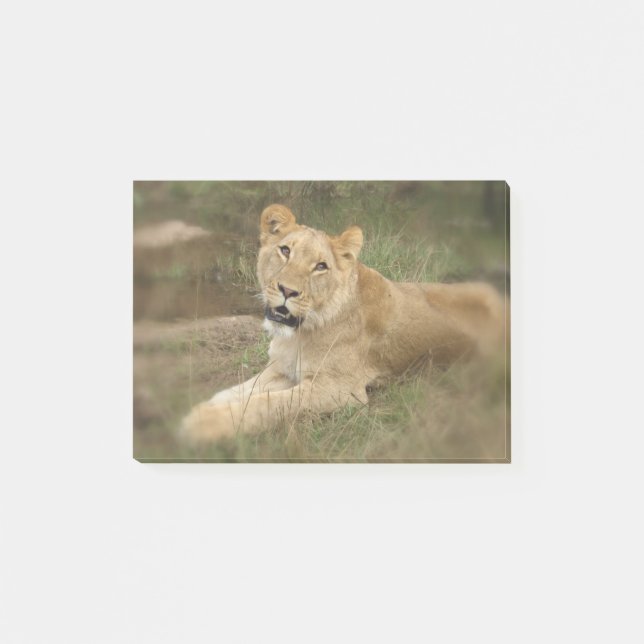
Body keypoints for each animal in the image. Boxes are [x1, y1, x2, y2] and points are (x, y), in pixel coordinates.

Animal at [180, 204, 507, 443]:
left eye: (320, 266)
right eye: (285, 250)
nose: (287, 291)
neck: (298, 334)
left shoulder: (339, 389)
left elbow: (270, 403)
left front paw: (203, 423)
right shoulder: (282, 367)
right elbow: (239, 391)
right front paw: (205, 406)